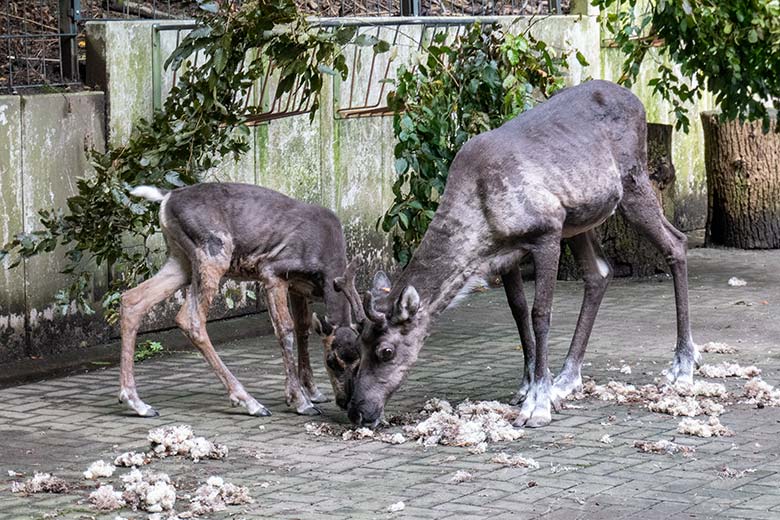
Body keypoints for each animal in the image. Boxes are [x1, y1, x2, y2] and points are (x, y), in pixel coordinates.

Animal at [119, 181, 362, 416]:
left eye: (360, 361)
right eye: (331, 361)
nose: (345, 401)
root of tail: (167, 198)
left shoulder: (298, 287)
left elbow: (303, 328)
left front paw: (313, 392)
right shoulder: (273, 271)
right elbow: (286, 329)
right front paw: (300, 401)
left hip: (181, 259)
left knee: (132, 299)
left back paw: (137, 403)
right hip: (213, 251)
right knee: (189, 318)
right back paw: (250, 402)